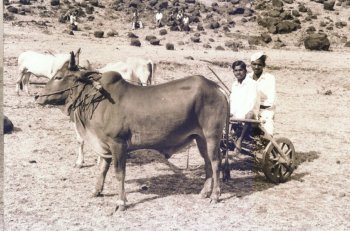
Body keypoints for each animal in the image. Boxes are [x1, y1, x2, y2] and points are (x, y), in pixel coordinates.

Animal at [34, 56, 228, 211]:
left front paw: (121, 202)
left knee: (216, 162)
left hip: (212, 136)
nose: (37, 96)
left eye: (58, 77)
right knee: (207, 162)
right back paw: (204, 192)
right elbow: (102, 169)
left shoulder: (118, 144)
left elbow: (119, 173)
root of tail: (216, 87)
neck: (97, 99)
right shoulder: (104, 146)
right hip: (199, 138)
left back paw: (215, 195)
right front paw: (96, 190)